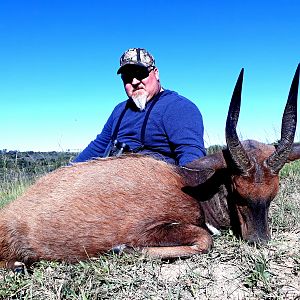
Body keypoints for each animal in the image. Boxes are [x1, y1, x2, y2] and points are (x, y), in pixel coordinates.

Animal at [0, 63, 298, 270]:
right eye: (237, 192)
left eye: (273, 194)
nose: (259, 241)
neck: (189, 184)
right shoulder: (150, 229)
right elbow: (205, 239)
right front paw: (121, 249)